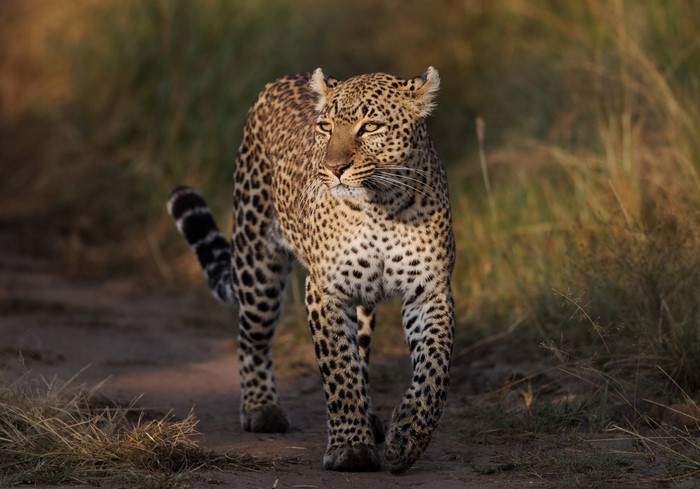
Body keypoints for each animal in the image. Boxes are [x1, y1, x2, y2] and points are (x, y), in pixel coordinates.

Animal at [167, 67, 455, 473]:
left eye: (370, 126)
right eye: (325, 126)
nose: (334, 169)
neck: (382, 205)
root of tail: (283, 78)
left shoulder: (429, 290)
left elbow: (434, 368)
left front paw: (408, 437)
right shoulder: (326, 289)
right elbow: (338, 368)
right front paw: (350, 448)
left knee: (361, 352)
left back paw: (371, 419)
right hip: (257, 265)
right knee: (252, 337)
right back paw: (261, 409)